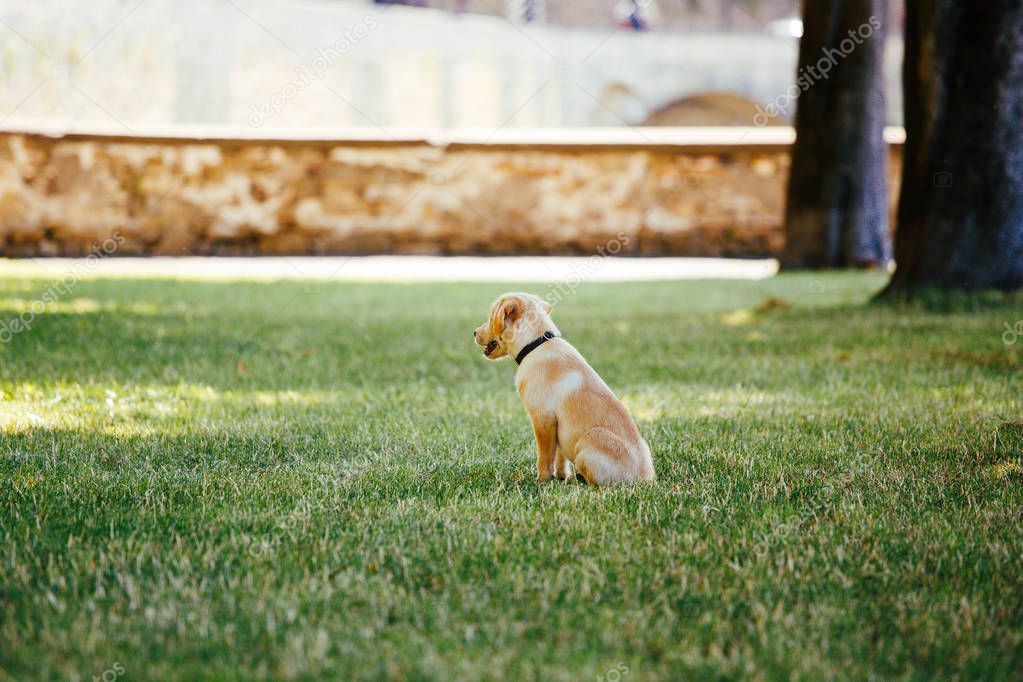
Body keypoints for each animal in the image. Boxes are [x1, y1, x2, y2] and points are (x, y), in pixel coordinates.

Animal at [472, 294, 654, 484]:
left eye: (490, 319)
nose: (474, 332)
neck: (535, 344)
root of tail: (644, 480)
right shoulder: (557, 425)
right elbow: (559, 456)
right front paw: (561, 477)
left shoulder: (543, 419)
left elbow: (544, 457)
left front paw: (542, 480)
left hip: (589, 440)